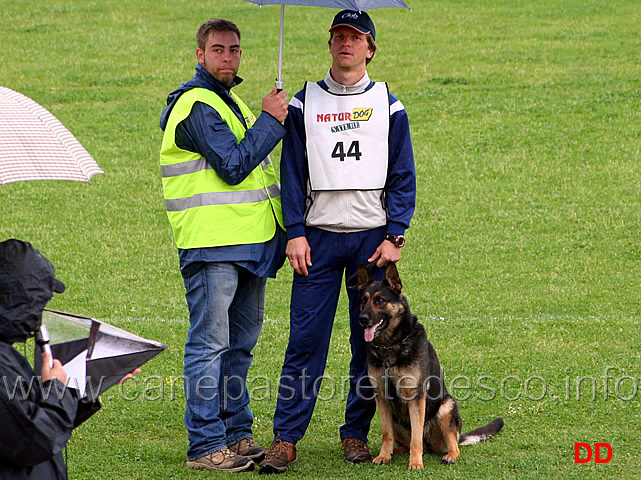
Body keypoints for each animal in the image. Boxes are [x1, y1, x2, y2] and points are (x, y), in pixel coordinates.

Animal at [358, 262, 502, 468]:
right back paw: (395, 451)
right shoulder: (382, 397)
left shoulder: (416, 397)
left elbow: (416, 437)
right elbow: (387, 433)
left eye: (380, 300)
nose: (362, 319)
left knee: (450, 444)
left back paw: (449, 455)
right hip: (397, 419)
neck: (391, 345)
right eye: (364, 300)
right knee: (404, 441)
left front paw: (416, 464)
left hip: (446, 408)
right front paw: (384, 456)